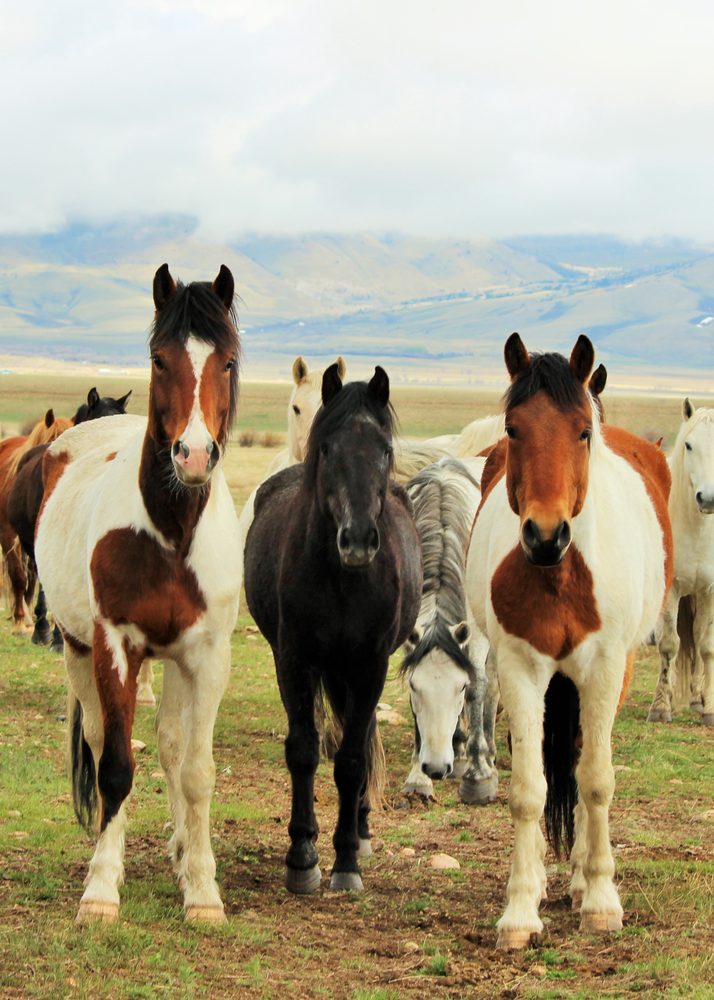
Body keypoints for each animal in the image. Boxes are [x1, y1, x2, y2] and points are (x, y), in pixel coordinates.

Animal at [35, 264, 242, 924]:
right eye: (159, 358)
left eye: (228, 360)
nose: (194, 455)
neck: (171, 533)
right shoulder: (116, 647)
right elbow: (117, 767)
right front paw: (101, 889)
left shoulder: (206, 655)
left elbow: (197, 771)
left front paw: (202, 890)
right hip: (79, 650)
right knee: (105, 741)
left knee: (174, 750)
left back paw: (181, 851)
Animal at [244, 364, 422, 894]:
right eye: (327, 448)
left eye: (384, 448)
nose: (359, 540)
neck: (343, 580)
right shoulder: (294, 660)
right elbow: (304, 751)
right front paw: (302, 857)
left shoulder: (369, 666)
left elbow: (352, 760)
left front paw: (345, 860)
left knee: (360, 742)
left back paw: (359, 830)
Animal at [401, 457, 498, 806]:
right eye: (415, 687)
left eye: (460, 687)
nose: (435, 767)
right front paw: (417, 778)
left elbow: (479, 687)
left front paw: (479, 775)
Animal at [465, 332, 672, 950]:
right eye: (513, 429)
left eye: (583, 431)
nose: (545, 535)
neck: (560, 574)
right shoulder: (520, 669)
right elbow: (528, 789)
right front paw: (519, 910)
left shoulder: (603, 669)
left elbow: (595, 782)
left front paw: (601, 900)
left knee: (583, 764)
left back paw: (582, 880)